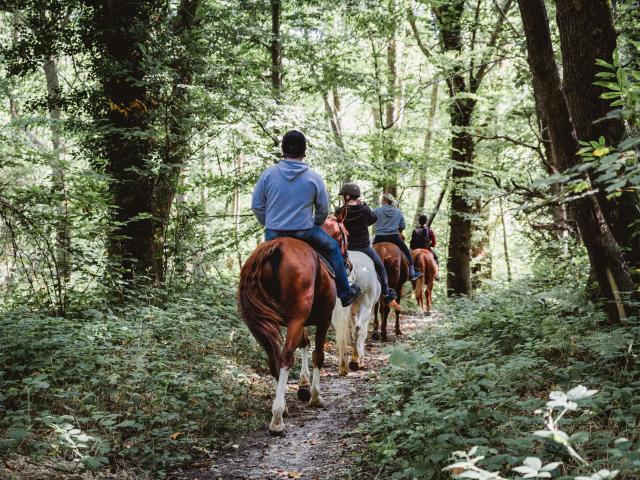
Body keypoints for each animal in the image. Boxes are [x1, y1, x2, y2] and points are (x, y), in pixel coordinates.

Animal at [237, 210, 349, 435]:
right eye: (347, 235)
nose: (348, 264)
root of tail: (277, 248)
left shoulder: (298, 320)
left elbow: (304, 344)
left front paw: (304, 385)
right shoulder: (322, 318)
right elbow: (318, 355)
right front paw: (315, 396)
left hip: (264, 323)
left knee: (274, 358)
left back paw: (283, 407)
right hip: (298, 317)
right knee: (286, 357)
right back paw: (278, 418)